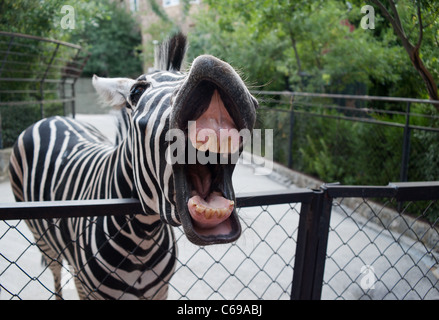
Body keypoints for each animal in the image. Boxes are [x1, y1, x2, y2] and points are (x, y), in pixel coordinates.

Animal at [8, 33, 260, 298]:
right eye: (137, 91)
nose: (212, 64)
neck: (143, 238)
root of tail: (52, 118)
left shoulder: (160, 290)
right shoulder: (90, 289)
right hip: (43, 240)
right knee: (56, 273)